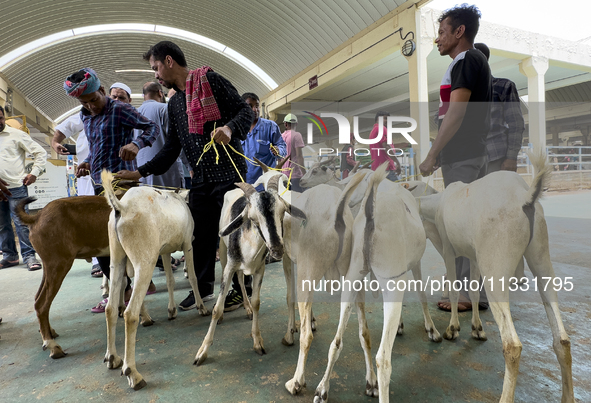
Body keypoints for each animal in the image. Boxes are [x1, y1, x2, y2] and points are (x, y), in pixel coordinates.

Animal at [102, 170, 210, 392]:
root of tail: (122, 207)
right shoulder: (187, 244)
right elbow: (193, 277)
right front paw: (201, 307)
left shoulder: (166, 250)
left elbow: (170, 280)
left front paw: (172, 311)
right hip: (145, 261)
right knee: (130, 314)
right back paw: (133, 374)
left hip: (117, 260)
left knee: (110, 309)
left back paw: (112, 357)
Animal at [194, 178, 306, 366]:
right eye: (252, 218)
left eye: (283, 212)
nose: (277, 249)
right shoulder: (230, 266)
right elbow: (217, 309)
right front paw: (202, 352)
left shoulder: (260, 269)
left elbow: (256, 303)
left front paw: (257, 341)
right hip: (223, 251)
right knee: (236, 277)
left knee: (240, 279)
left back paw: (246, 308)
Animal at [416, 153, 572, 402]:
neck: (440, 202)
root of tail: (525, 198)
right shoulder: (474, 255)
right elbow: (471, 291)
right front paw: (476, 328)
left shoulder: (449, 249)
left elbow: (454, 288)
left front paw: (453, 329)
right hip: (541, 256)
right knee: (562, 339)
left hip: (496, 262)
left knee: (512, 345)